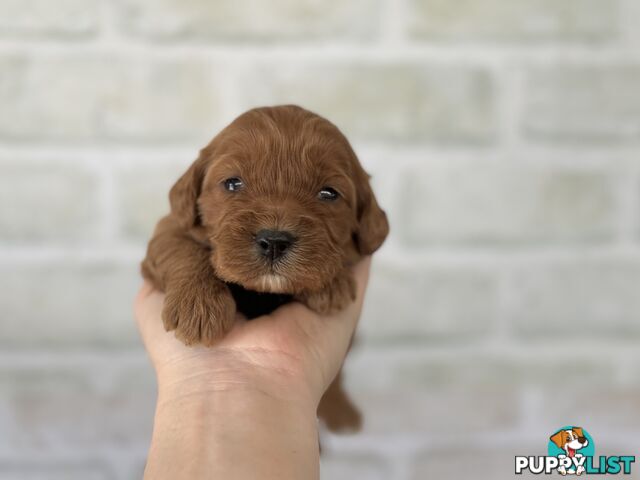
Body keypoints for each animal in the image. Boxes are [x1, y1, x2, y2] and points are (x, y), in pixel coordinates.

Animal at [142, 105, 388, 432]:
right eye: (232, 183)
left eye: (329, 193)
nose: (274, 241)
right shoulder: (168, 227)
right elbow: (179, 247)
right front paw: (197, 306)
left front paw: (330, 283)